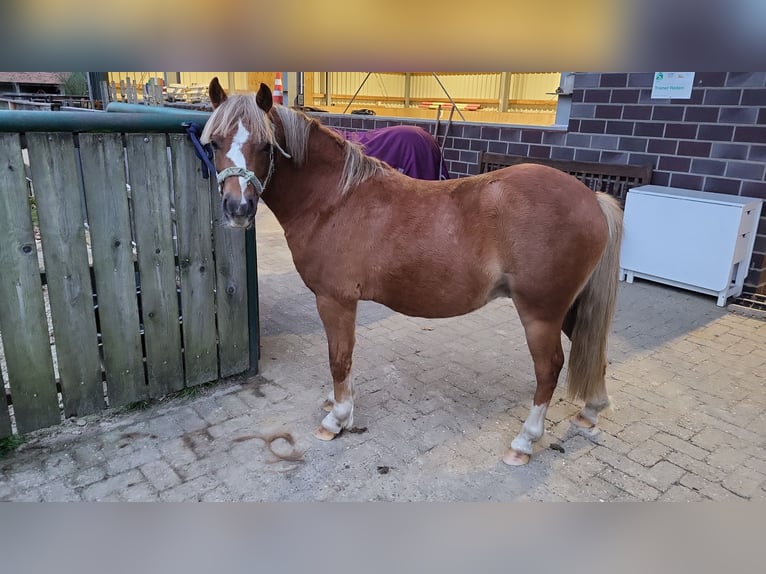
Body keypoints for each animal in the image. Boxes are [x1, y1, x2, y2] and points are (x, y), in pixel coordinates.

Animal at [202, 80, 624, 468]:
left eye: (266, 146)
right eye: (214, 143)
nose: (237, 209)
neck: (335, 200)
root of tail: (591, 198)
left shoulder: (335, 300)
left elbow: (339, 358)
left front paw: (337, 419)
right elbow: (345, 359)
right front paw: (340, 406)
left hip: (540, 312)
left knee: (549, 368)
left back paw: (524, 442)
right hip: (567, 307)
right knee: (592, 349)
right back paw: (591, 411)